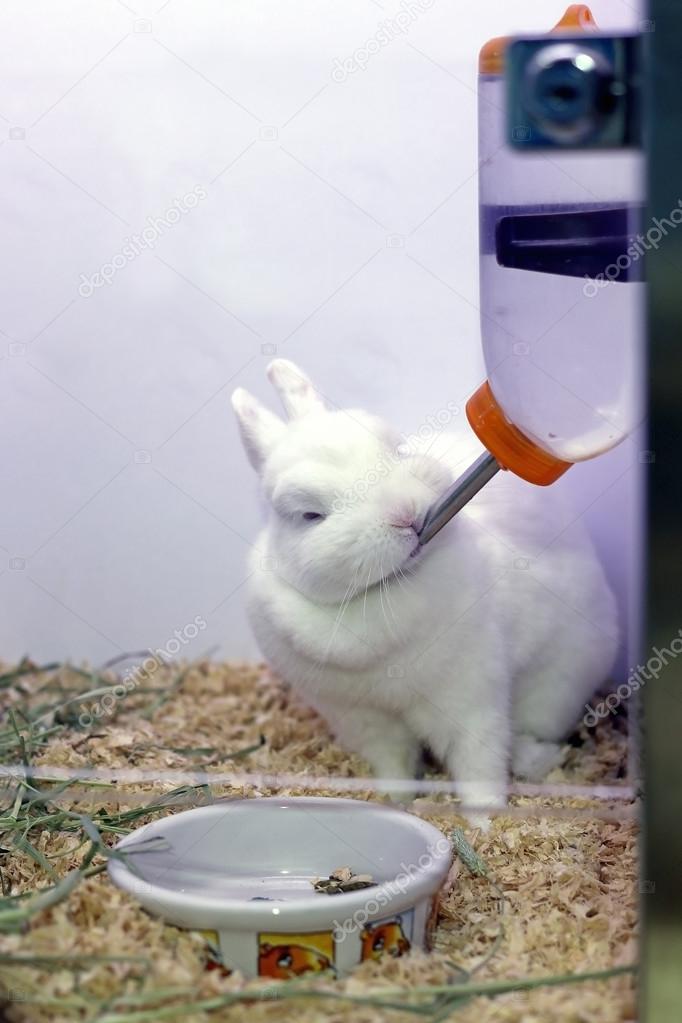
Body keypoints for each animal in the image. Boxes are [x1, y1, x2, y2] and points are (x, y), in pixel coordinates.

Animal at [232, 360, 621, 822]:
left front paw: (483, 819)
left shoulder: (471, 701)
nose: (405, 515)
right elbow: (395, 765)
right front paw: (396, 802)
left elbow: (479, 765)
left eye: (397, 451)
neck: (379, 596)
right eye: (310, 515)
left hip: (555, 689)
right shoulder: (366, 723)